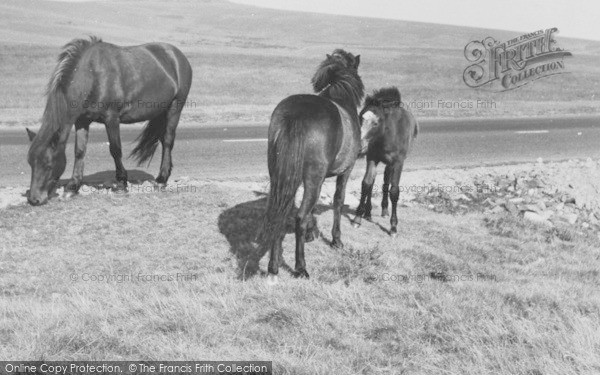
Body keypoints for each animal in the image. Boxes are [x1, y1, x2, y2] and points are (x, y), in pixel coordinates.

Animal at [26, 36, 192, 206]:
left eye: (48, 165)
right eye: (30, 163)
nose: (34, 199)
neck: (92, 75)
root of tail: (177, 55)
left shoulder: (111, 119)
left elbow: (115, 150)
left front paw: (121, 183)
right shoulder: (82, 121)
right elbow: (79, 152)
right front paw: (73, 187)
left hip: (175, 108)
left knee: (167, 141)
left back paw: (162, 179)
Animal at [262, 50, 366, 280]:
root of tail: (295, 115)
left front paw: (311, 233)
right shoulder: (346, 171)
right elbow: (338, 200)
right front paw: (336, 239)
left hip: (281, 176)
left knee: (279, 213)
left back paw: (274, 265)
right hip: (313, 179)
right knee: (299, 217)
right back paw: (301, 267)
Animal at [352, 86, 418, 236]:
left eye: (376, 123)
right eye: (360, 118)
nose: (359, 148)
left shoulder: (398, 163)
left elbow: (394, 190)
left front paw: (393, 227)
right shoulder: (372, 158)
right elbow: (366, 184)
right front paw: (357, 218)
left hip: (391, 164)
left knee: (386, 180)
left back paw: (384, 210)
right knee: (374, 181)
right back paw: (368, 213)